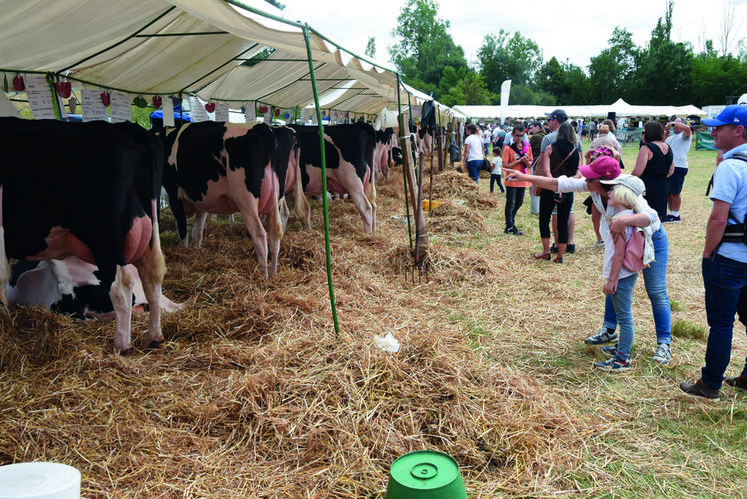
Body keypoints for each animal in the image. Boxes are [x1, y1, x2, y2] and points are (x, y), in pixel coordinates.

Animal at [0, 117, 167, 354]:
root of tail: (125, 127)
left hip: (104, 239)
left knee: (121, 286)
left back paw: (122, 345)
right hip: (149, 228)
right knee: (151, 277)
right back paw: (153, 338)